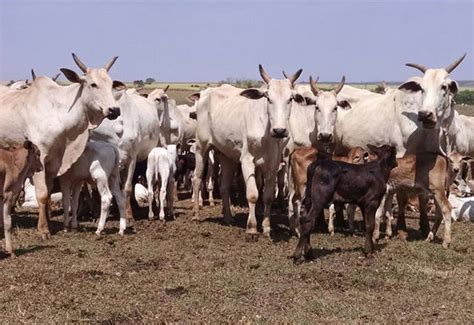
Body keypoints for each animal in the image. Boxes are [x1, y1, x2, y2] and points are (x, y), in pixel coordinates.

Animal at [0, 53, 124, 238]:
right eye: (93, 84)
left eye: (111, 84)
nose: (114, 110)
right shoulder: (39, 158)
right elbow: (43, 194)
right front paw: (43, 230)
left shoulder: (54, 162)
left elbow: (50, 192)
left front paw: (49, 223)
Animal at [193, 65, 308, 238]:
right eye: (268, 98)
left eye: (290, 99)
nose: (279, 131)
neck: (267, 133)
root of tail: (206, 93)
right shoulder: (247, 161)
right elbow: (253, 195)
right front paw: (252, 229)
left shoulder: (273, 164)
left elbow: (267, 197)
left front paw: (266, 228)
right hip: (202, 147)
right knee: (197, 178)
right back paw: (196, 214)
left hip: (226, 155)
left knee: (224, 185)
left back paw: (228, 217)